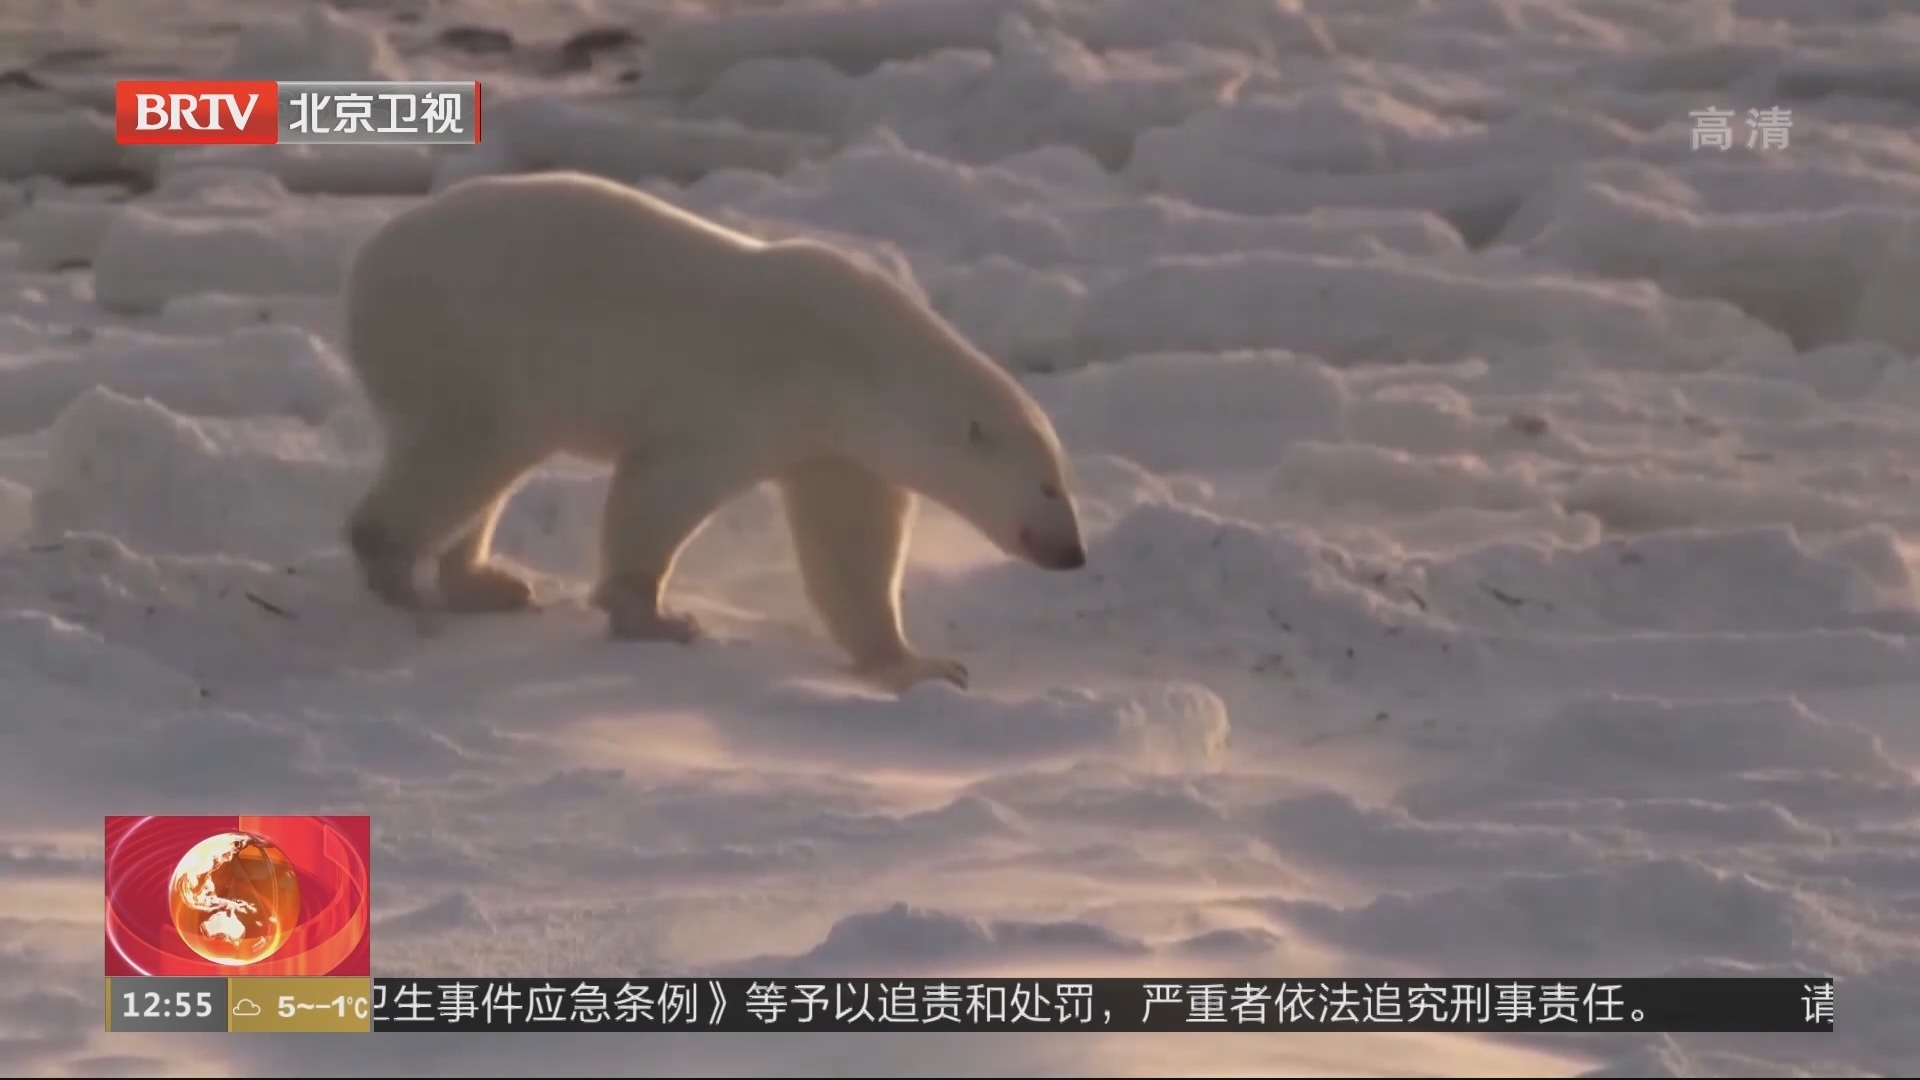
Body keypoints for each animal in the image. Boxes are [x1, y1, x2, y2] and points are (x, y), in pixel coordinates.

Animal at [338, 170, 1087, 694]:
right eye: (1049, 487)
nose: (1073, 554)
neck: (855, 359)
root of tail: (367, 266)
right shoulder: (744, 397)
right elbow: (664, 485)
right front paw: (657, 617)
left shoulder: (834, 445)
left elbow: (853, 542)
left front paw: (919, 663)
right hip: (467, 341)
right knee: (467, 451)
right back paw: (397, 577)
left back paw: (488, 584)